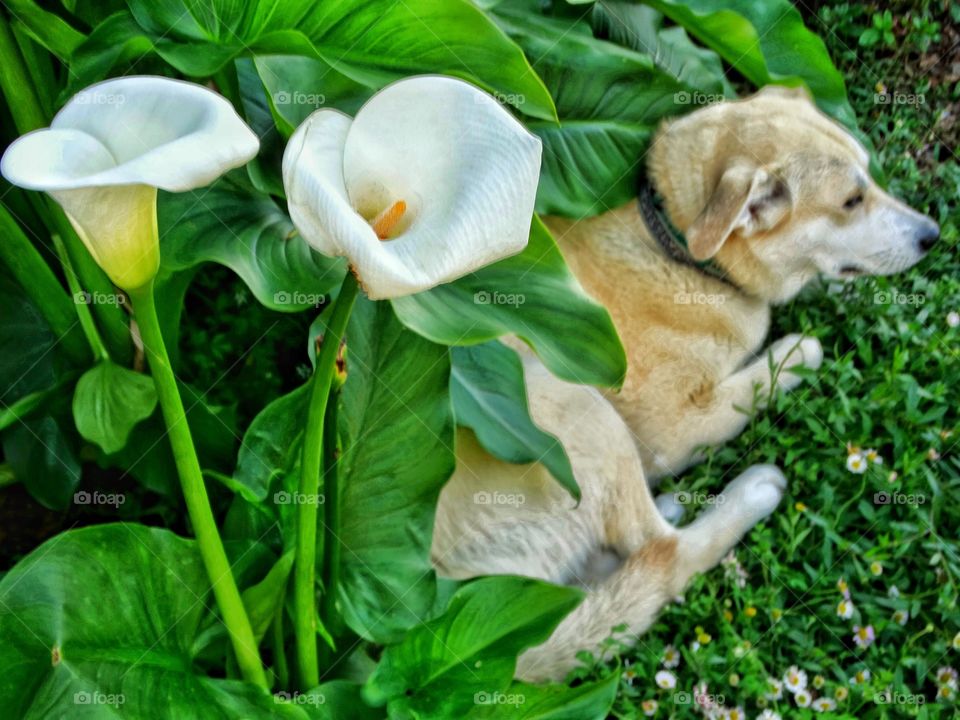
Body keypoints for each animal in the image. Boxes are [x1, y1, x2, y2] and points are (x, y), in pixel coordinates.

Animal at [432, 86, 940, 680]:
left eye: (871, 179)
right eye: (850, 202)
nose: (932, 236)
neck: (678, 248)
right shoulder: (672, 428)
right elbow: (765, 374)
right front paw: (797, 347)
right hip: (563, 410)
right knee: (661, 553)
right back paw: (749, 493)